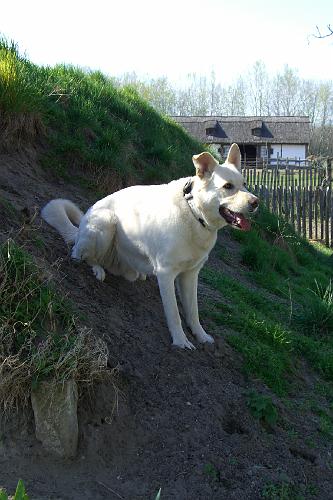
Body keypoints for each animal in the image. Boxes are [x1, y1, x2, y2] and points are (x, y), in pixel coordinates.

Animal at [41, 143, 258, 350]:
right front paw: (181, 342)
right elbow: (174, 314)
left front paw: (201, 336)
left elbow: (193, 313)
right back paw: (97, 268)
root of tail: (78, 231)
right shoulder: (166, 273)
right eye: (228, 186)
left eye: (245, 185)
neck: (194, 213)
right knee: (78, 254)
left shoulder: (190, 275)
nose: (256, 202)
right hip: (105, 223)